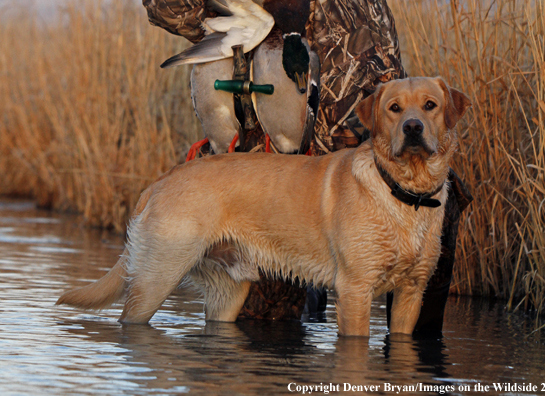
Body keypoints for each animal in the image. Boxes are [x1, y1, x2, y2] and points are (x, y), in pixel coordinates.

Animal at [57, 76, 470, 334]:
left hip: (228, 294)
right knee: (129, 317)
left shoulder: (412, 293)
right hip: (156, 278)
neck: (404, 193)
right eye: (394, 108)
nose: (413, 128)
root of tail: (161, 180)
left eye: (430, 106)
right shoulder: (355, 289)